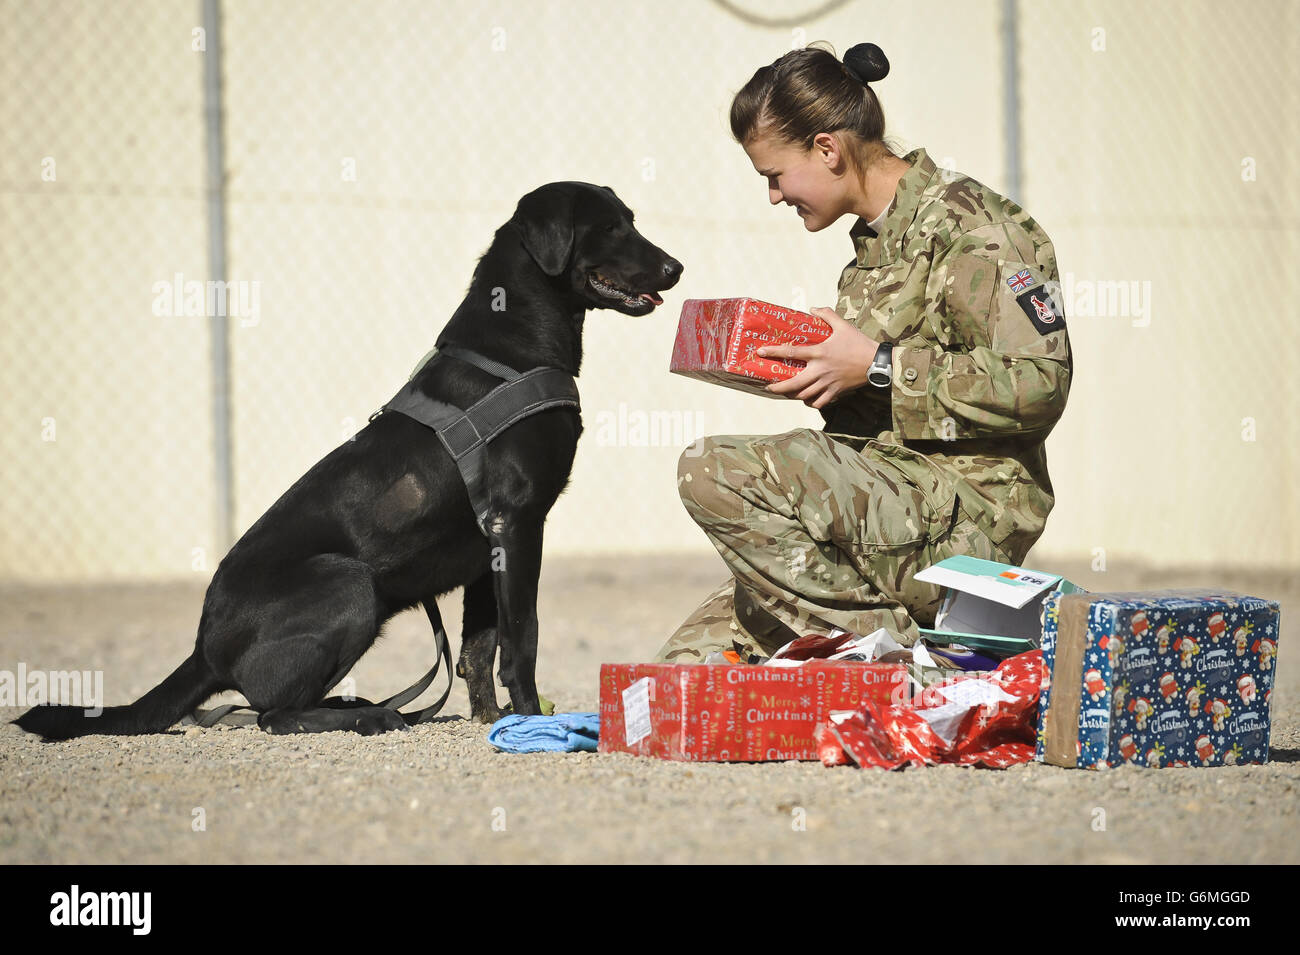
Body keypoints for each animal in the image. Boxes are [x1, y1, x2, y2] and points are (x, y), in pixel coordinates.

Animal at [17, 183, 681, 743]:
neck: (512, 347)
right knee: (274, 714)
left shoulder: (488, 540)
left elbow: (478, 647)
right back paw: (368, 717)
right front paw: (530, 721)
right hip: (350, 582)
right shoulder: (519, 525)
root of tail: (205, 649)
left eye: (632, 221)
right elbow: (523, 639)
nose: (678, 268)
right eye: (611, 229)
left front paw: (491, 721)